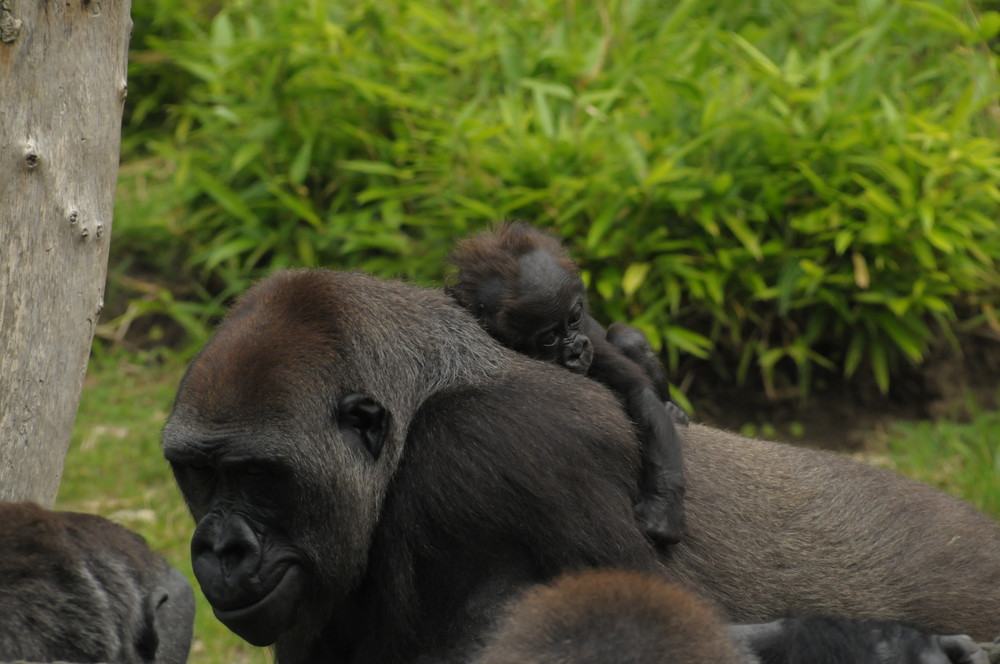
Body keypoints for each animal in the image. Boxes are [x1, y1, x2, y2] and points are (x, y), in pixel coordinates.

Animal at [452, 223, 688, 544]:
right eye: (550, 338)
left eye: (574, 318)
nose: (576, 349)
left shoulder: (593, 342)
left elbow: (637, 390)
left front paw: (663, 505)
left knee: (629, 339)